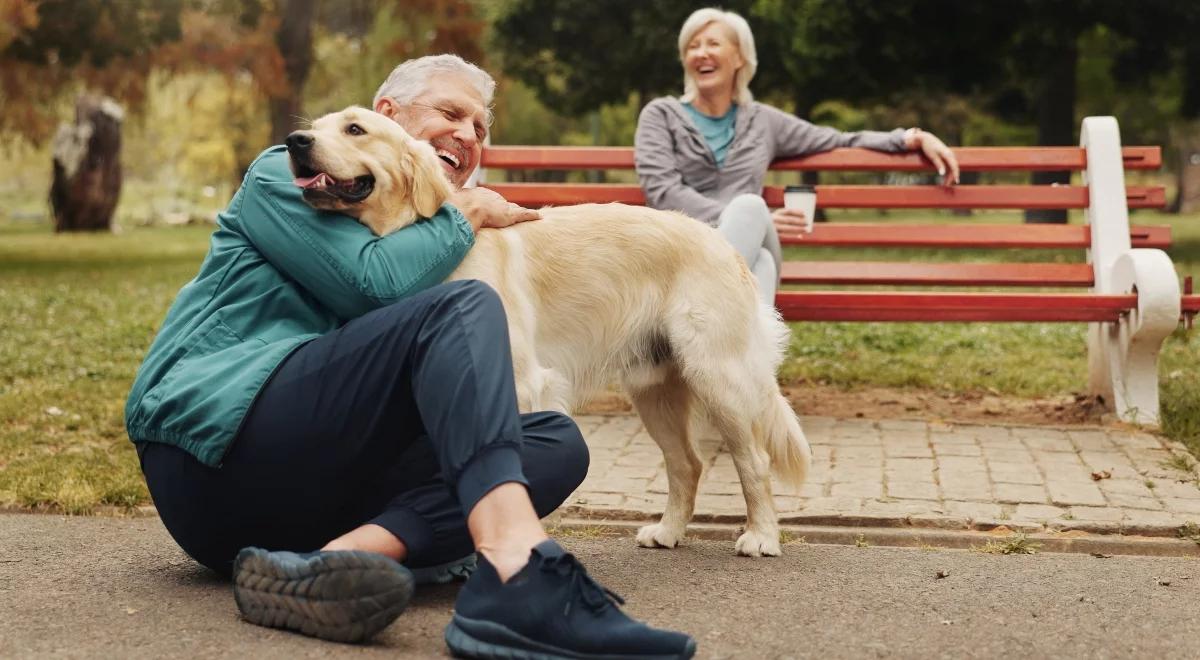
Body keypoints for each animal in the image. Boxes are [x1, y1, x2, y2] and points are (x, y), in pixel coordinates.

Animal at [288, 108, 816, 559]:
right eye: (316, 126)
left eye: (355, 129)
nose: (295, 141)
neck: (413, 243)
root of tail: (725, 244)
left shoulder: (522, 384)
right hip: (654, 388)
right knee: (687, 463)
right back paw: (668, 532)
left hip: (717, 376)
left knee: (754, 460)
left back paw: (761, 536)